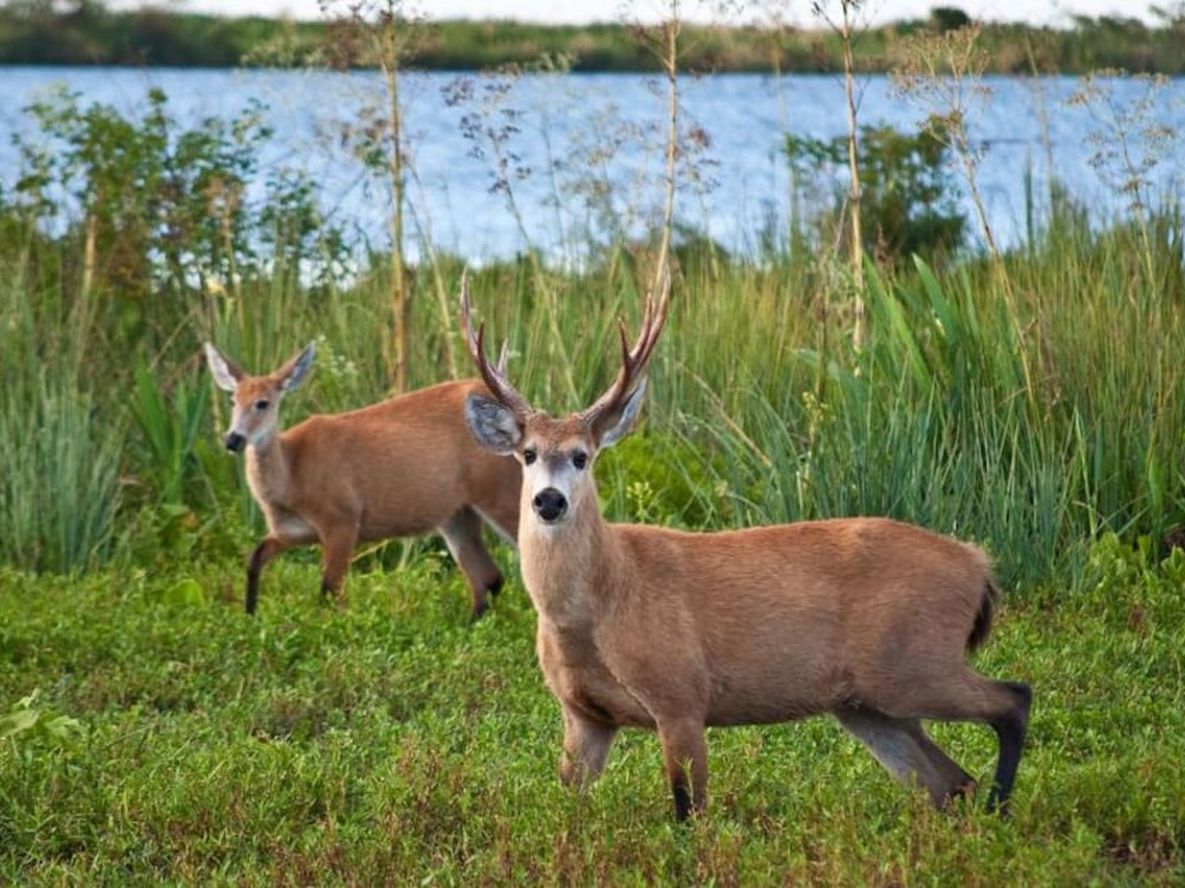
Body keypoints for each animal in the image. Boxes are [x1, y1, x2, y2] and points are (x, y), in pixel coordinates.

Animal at [203, 341, 521, 617]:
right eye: (232, 400)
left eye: (263, 403)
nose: (233, 439)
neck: (292, 475)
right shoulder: (291, 531)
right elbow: (254, 558)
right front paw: (249, 615)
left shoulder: (343, 518)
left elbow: (329, 589)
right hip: (456, 513)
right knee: (488, 578)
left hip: (501, 492)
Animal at [458, 274, 1031, 821]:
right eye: (528, 453)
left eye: (582, 456)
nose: (549, 501)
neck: (601, 601)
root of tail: (978, 564)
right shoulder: (583, 716)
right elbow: (569, 806)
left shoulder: (681, 694)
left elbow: (689, 812)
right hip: (867, 702)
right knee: (950, 781)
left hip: (913, 661)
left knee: (1012, 700)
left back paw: (1002, 812)